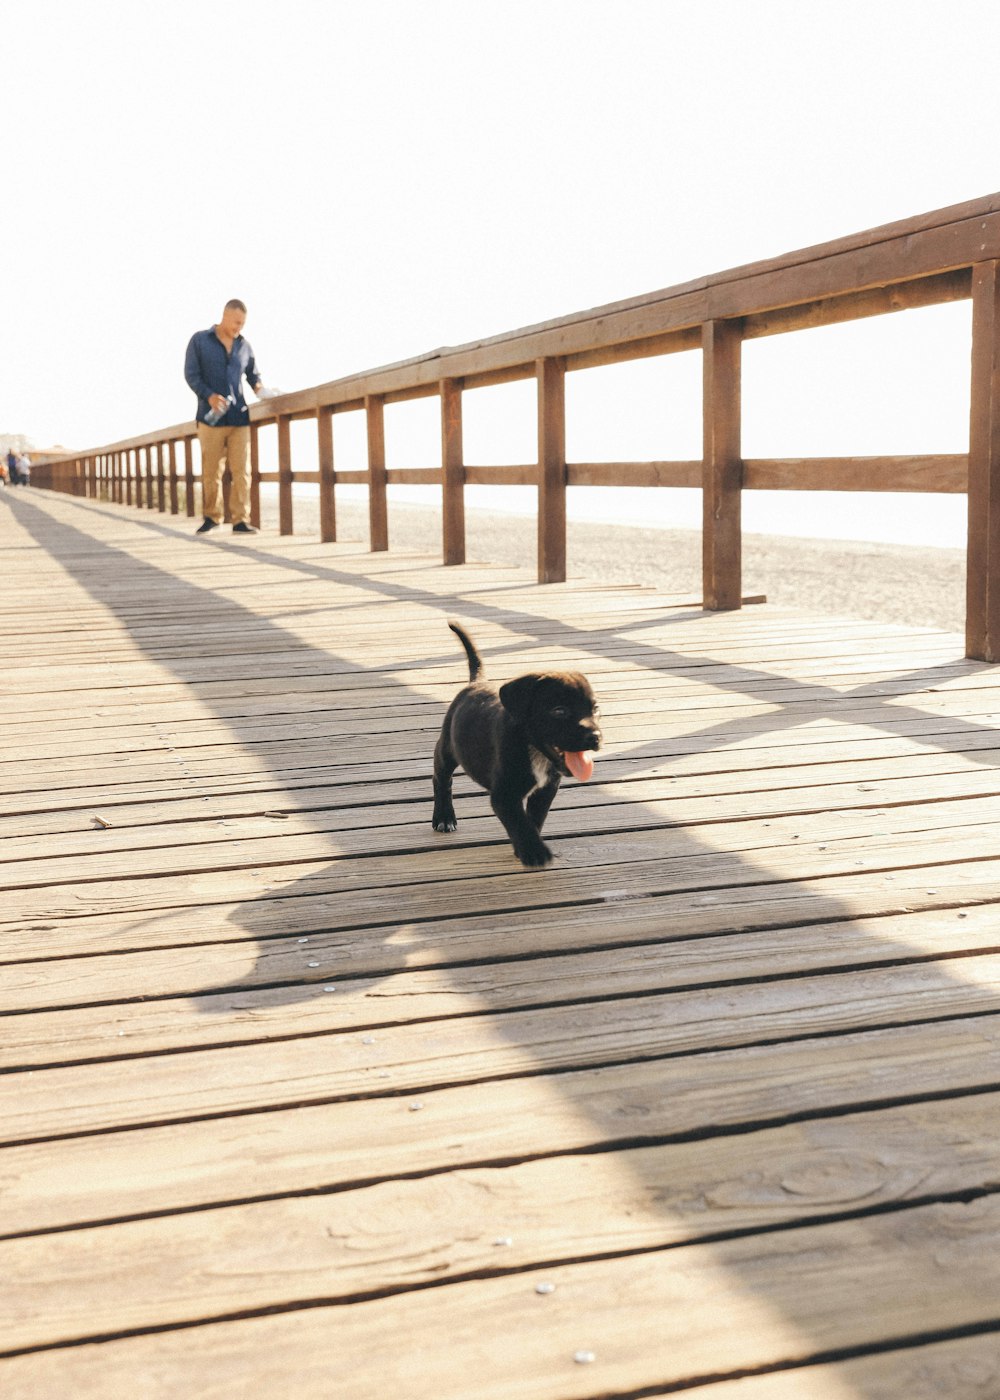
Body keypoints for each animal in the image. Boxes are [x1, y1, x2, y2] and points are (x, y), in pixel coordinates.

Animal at [431, 621, 599, 862]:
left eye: (595, 709)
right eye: (560, 711)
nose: (595, 737)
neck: (534, 751)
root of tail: (477, 682)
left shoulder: (546, 790)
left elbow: (534, 819)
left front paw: (527, 848)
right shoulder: (505, 795)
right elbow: (519, 823)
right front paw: (534, 852)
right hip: (446, 749)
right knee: (441, 779)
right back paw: (444, 817)